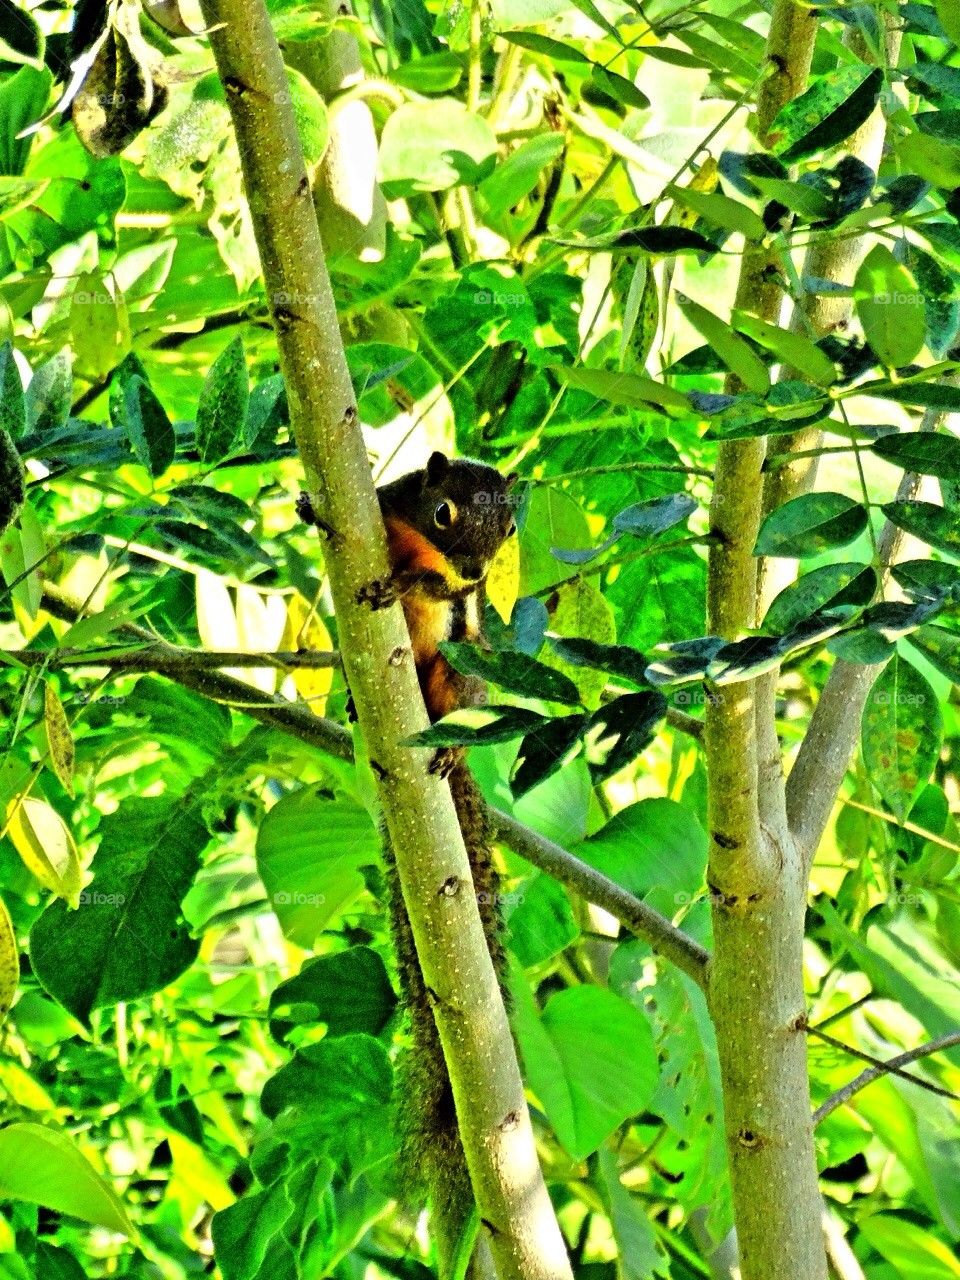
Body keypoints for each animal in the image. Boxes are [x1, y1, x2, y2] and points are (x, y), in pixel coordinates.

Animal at [298, 451, 518, 1272]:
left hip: (463, 668)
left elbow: (441, 592)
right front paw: (307, 506)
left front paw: (409, 584)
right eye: (445, 510)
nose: (474, 567)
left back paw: (452, 746)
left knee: (466, 683)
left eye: (511, 528)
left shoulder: (463, 598)